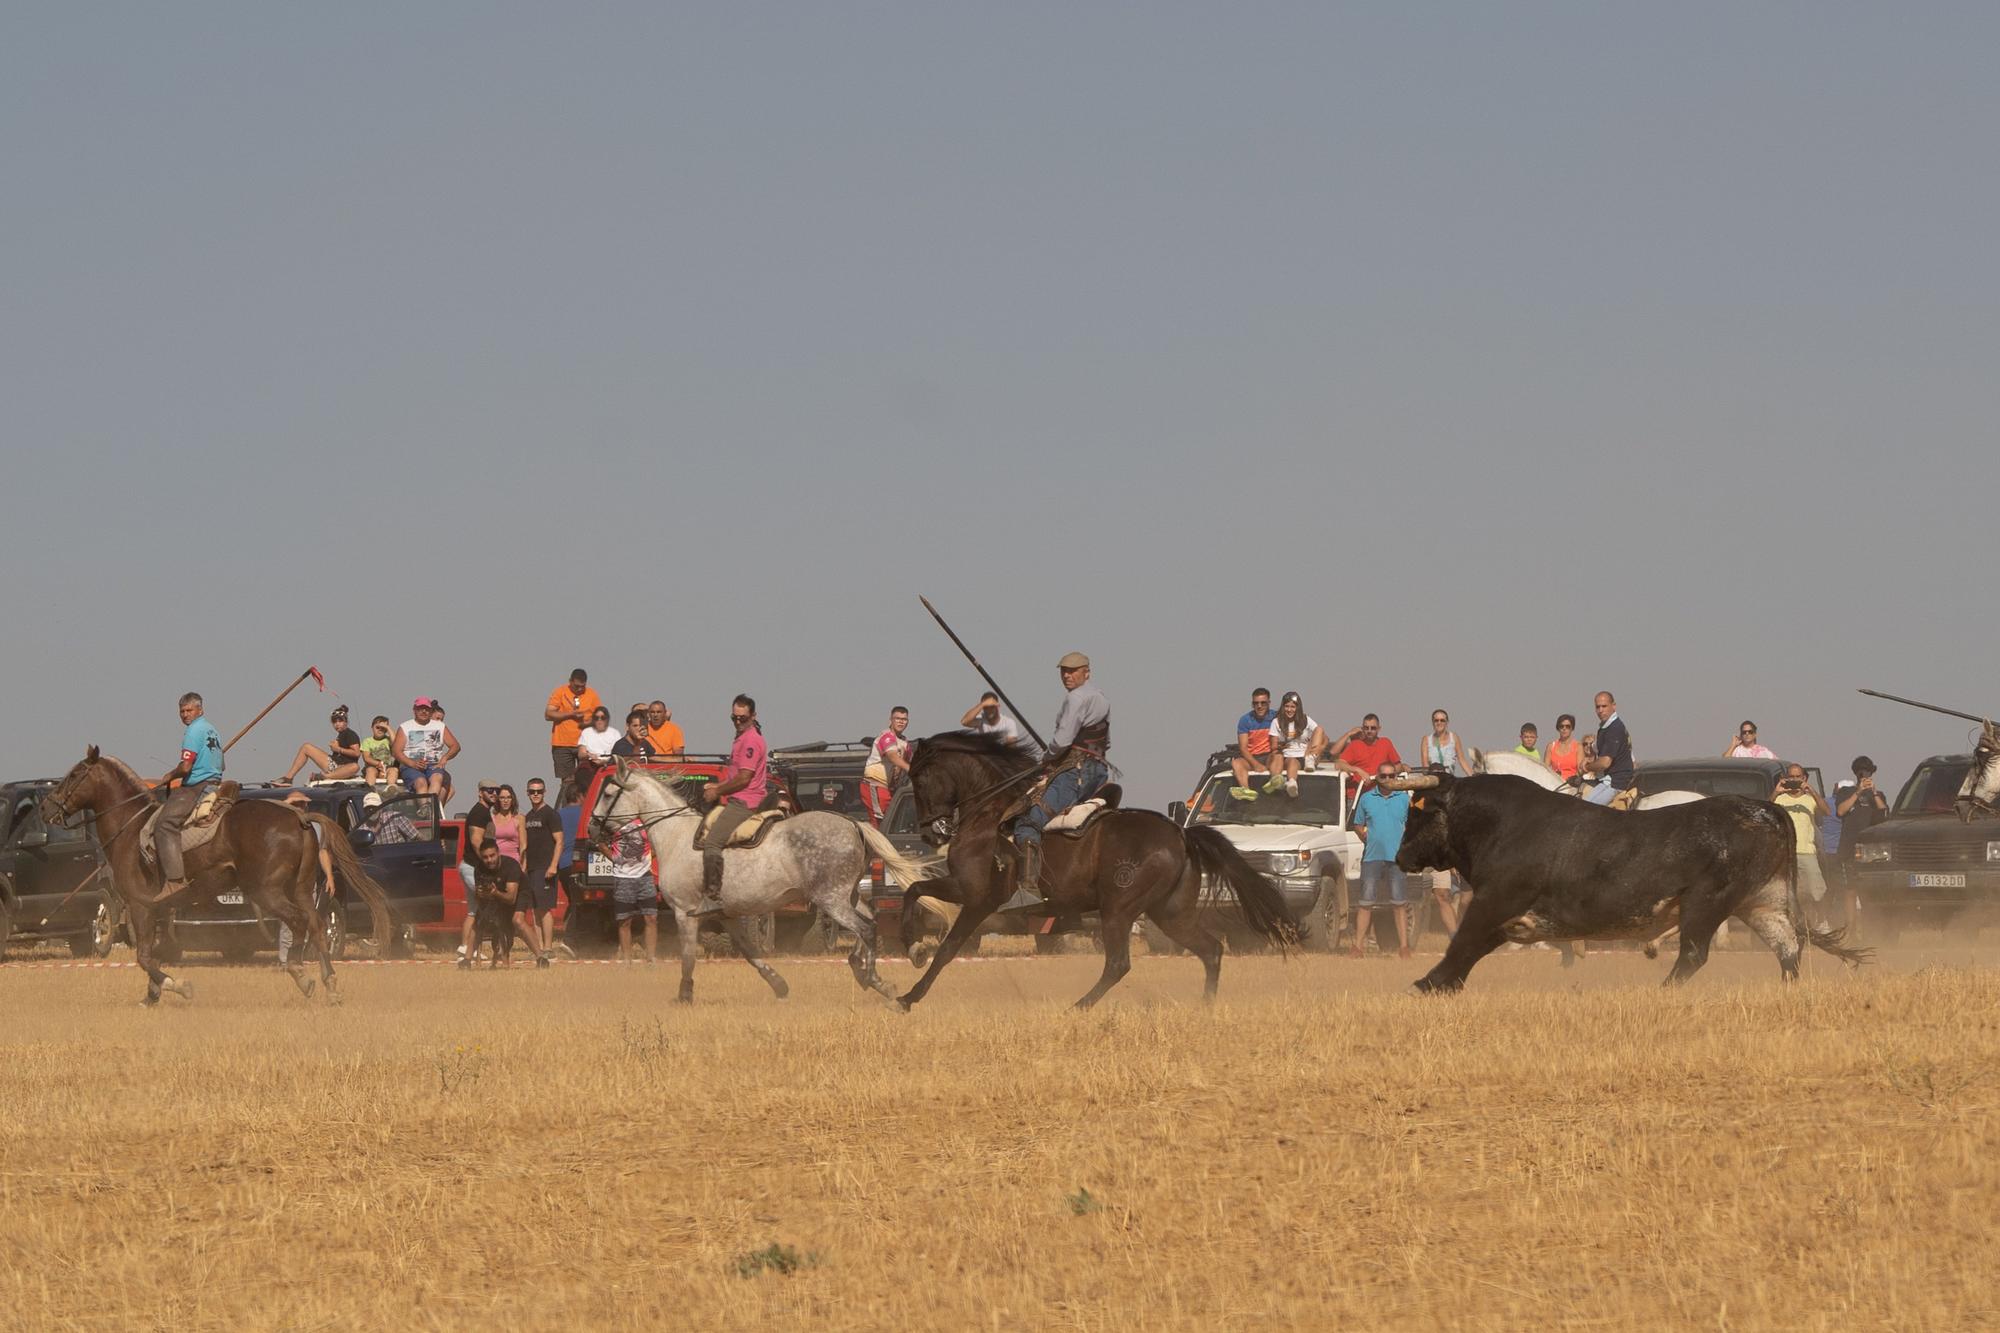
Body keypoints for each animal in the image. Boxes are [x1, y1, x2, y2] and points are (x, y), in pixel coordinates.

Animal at [41, 740, 392, 1000]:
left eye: (75, 774)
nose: (46, 807)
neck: (131, 828)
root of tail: (300, 817)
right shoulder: (158, 912)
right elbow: (152, 954)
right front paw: (153, 994)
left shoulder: (140, 905)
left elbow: (144, 957)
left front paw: (176, 986)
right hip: (302, 888)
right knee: (318, 925)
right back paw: (330, 984)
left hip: (267, 891)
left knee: (298, 923)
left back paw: (301, 975)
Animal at [588, 756, 924, 996]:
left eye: (608, 793)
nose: (592, 828)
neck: (675, 836)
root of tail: (854, 825)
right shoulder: (725, 915)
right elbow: (749, 952)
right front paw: (778, 984)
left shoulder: (685, 912)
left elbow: (687, 957)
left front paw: (684, 995)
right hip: (848, 895)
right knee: (870, 920)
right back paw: (869, 970)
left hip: (831, 899)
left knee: (866, 928)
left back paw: (874, 978)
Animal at [892, 728, 1296, 1008]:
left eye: (919, 777)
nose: (929, 832)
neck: (992, 812)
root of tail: (1180, 832)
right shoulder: (968, 894)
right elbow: (922, 905)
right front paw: (913, 959)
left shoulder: (973, 896)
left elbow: (941, 936)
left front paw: (911, 980)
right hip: (1168, 913)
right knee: (1210, 949)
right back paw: (1205, 1006)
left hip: (1118, 911)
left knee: (1118, 964)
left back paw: (1078, 1007)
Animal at [1384, 768, 1864, 984]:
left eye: (1417, 815)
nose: (1400, 856)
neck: (1501, 823)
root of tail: (1767, 809)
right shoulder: (1503, 917)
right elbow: (1469, 951)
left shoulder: (1493, 902)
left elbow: (1461, 943)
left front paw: (1427, 984)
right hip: (1760, 900)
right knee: (1787, 945)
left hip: (1706, 903)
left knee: (1694, 954)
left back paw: (1663, 988)